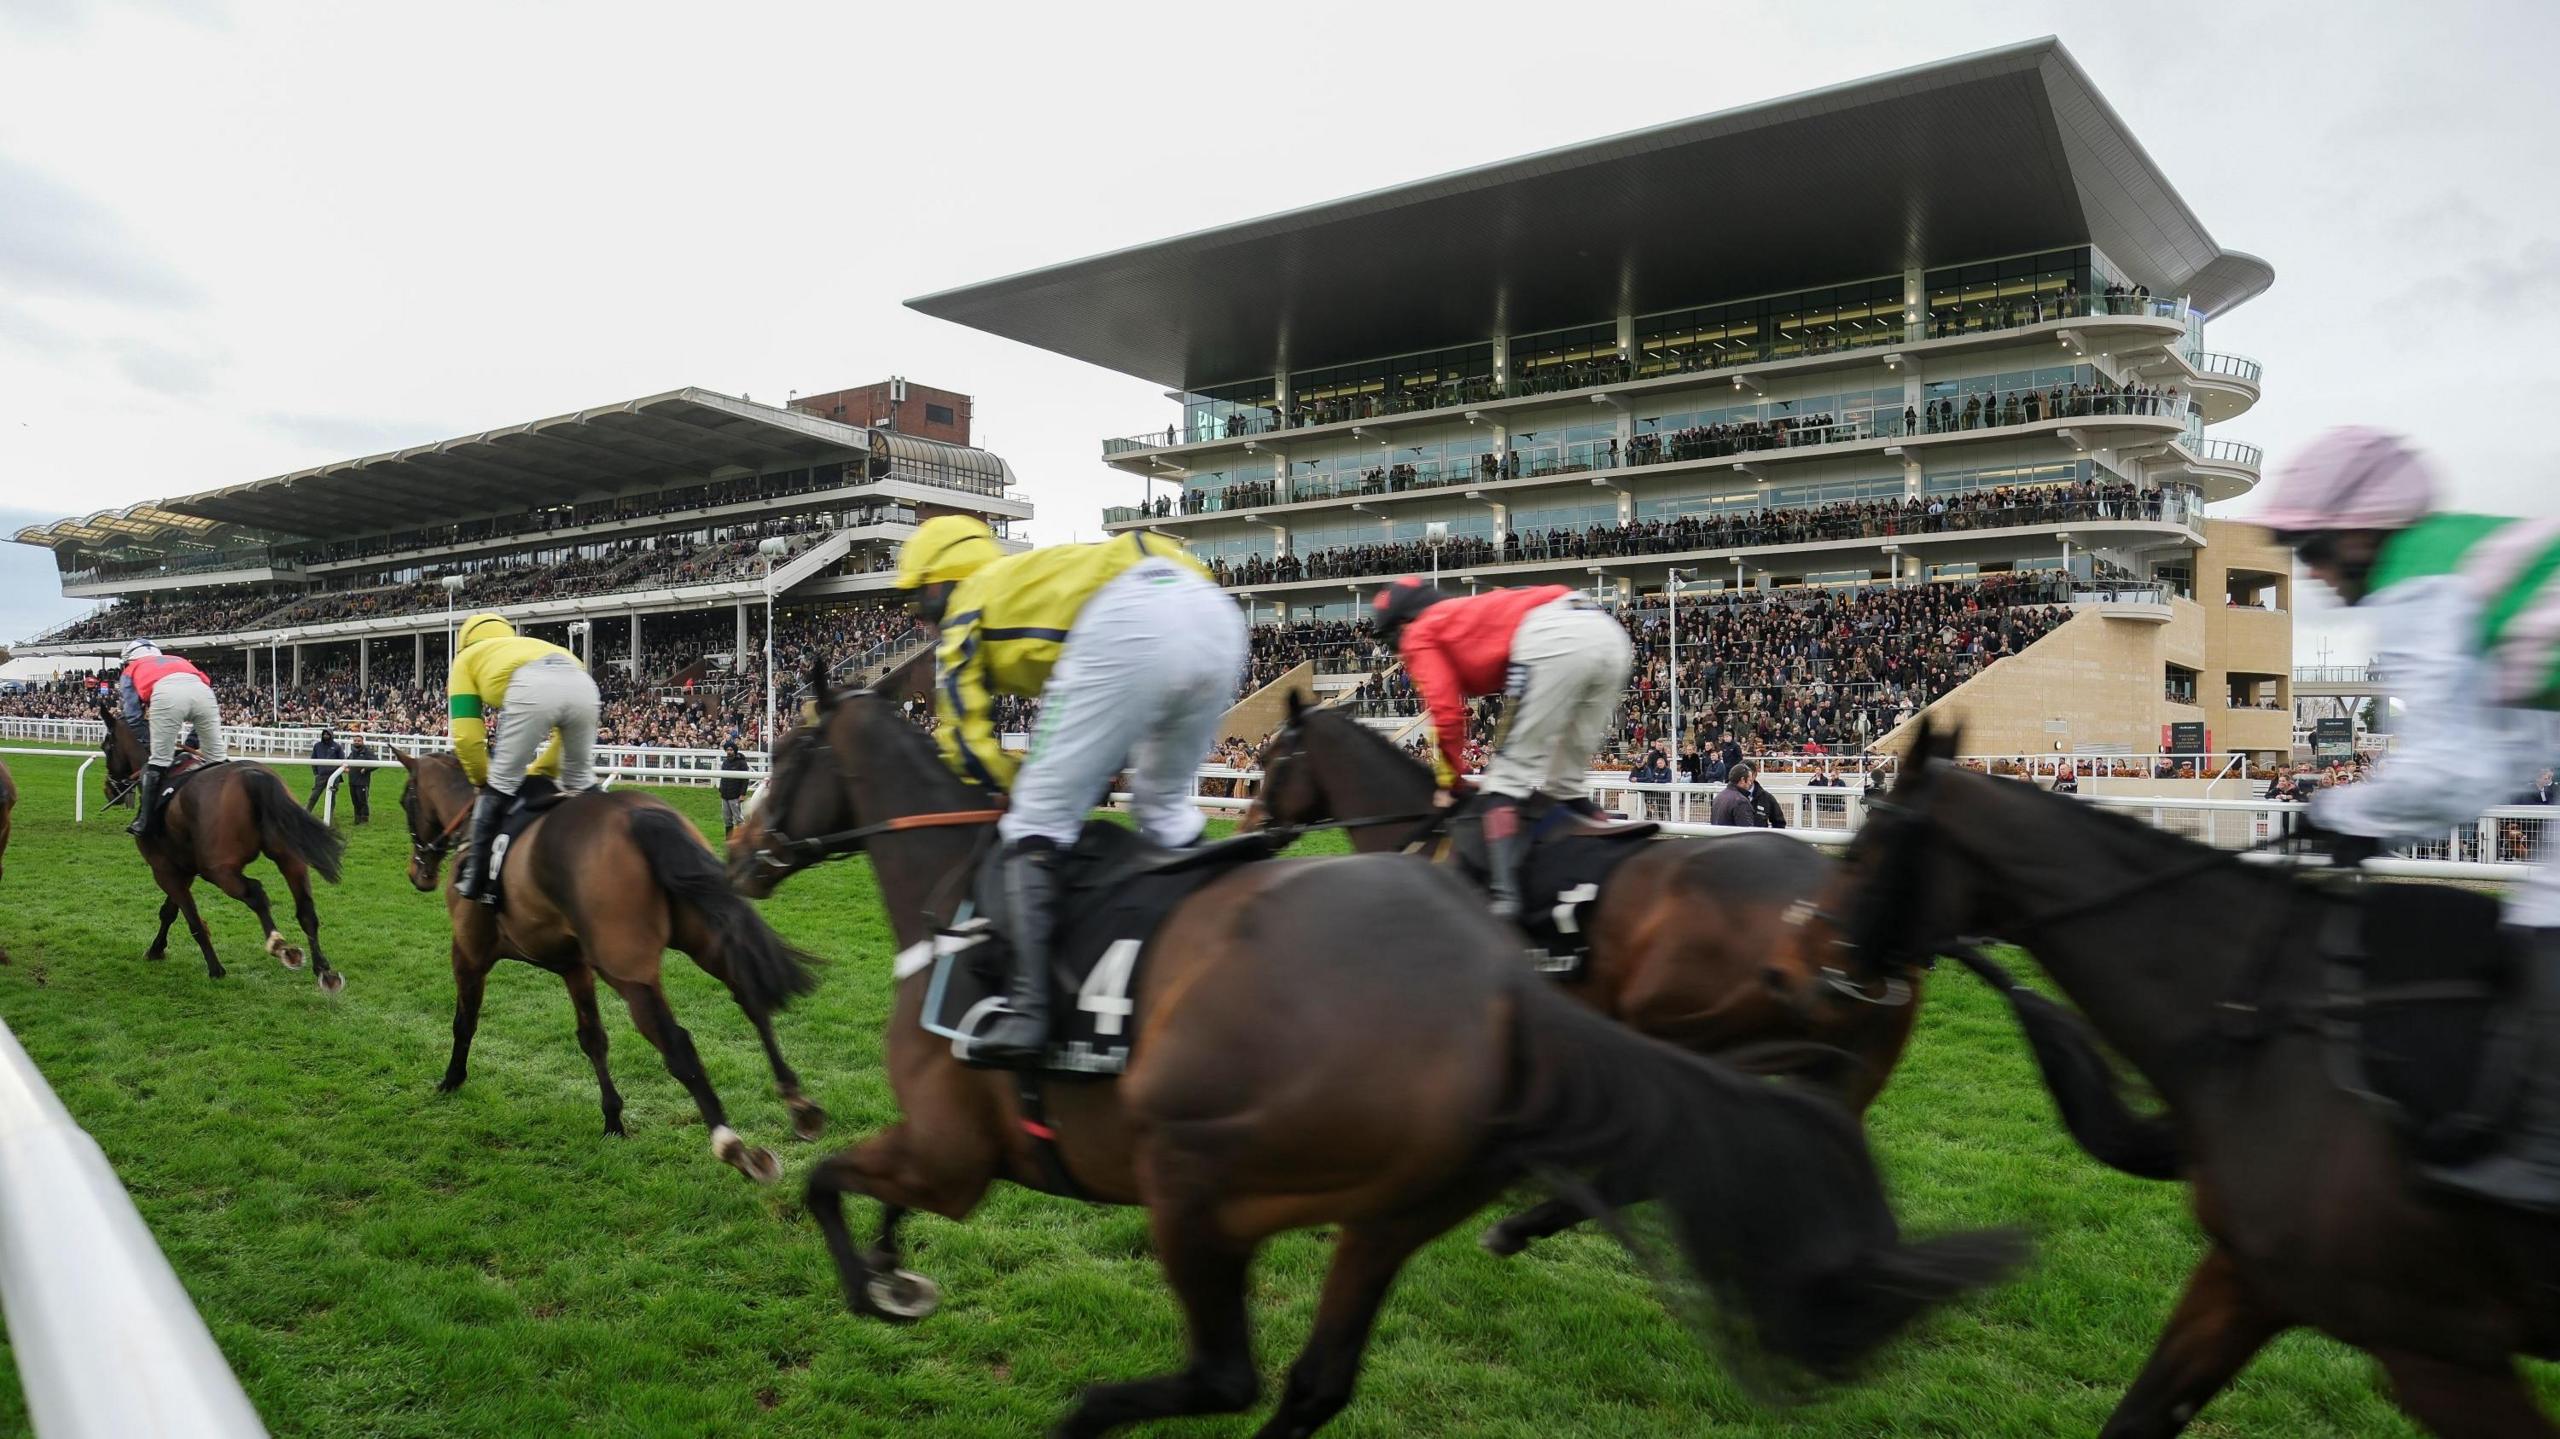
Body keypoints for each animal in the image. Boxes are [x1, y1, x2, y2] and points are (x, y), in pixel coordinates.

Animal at [97, 701, 345, 993]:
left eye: (106, 746)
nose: (109, 788)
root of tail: (253, 775)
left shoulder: (164, 870)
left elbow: (192, 920)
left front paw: (215, 969)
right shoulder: (183, 869)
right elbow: (169, 912)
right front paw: (157, 949)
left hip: (219, 870)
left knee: (256, 893)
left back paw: (281, 946)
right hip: (290, 858)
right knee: (305, 909)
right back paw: (324, 970)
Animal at [389, 752, 819, 1177]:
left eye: (405, 801)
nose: (418, 873)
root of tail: (639, 815)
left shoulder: (468, 953)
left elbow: (465, 1022)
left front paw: (451, 1079)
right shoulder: (575, 967)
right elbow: (593, 1038)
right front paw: (613, 1119)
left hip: (629, 972)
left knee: (677, 1043)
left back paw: (732, 1145)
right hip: (704, 937)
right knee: (750, 997)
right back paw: (797, 1103)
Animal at [1822, 716, 2560, 1433]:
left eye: (1862, 853)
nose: (1816, 959)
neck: (2266, 1010)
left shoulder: (2435, 1345)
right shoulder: (2245, 1275)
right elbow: (2141, 1412)